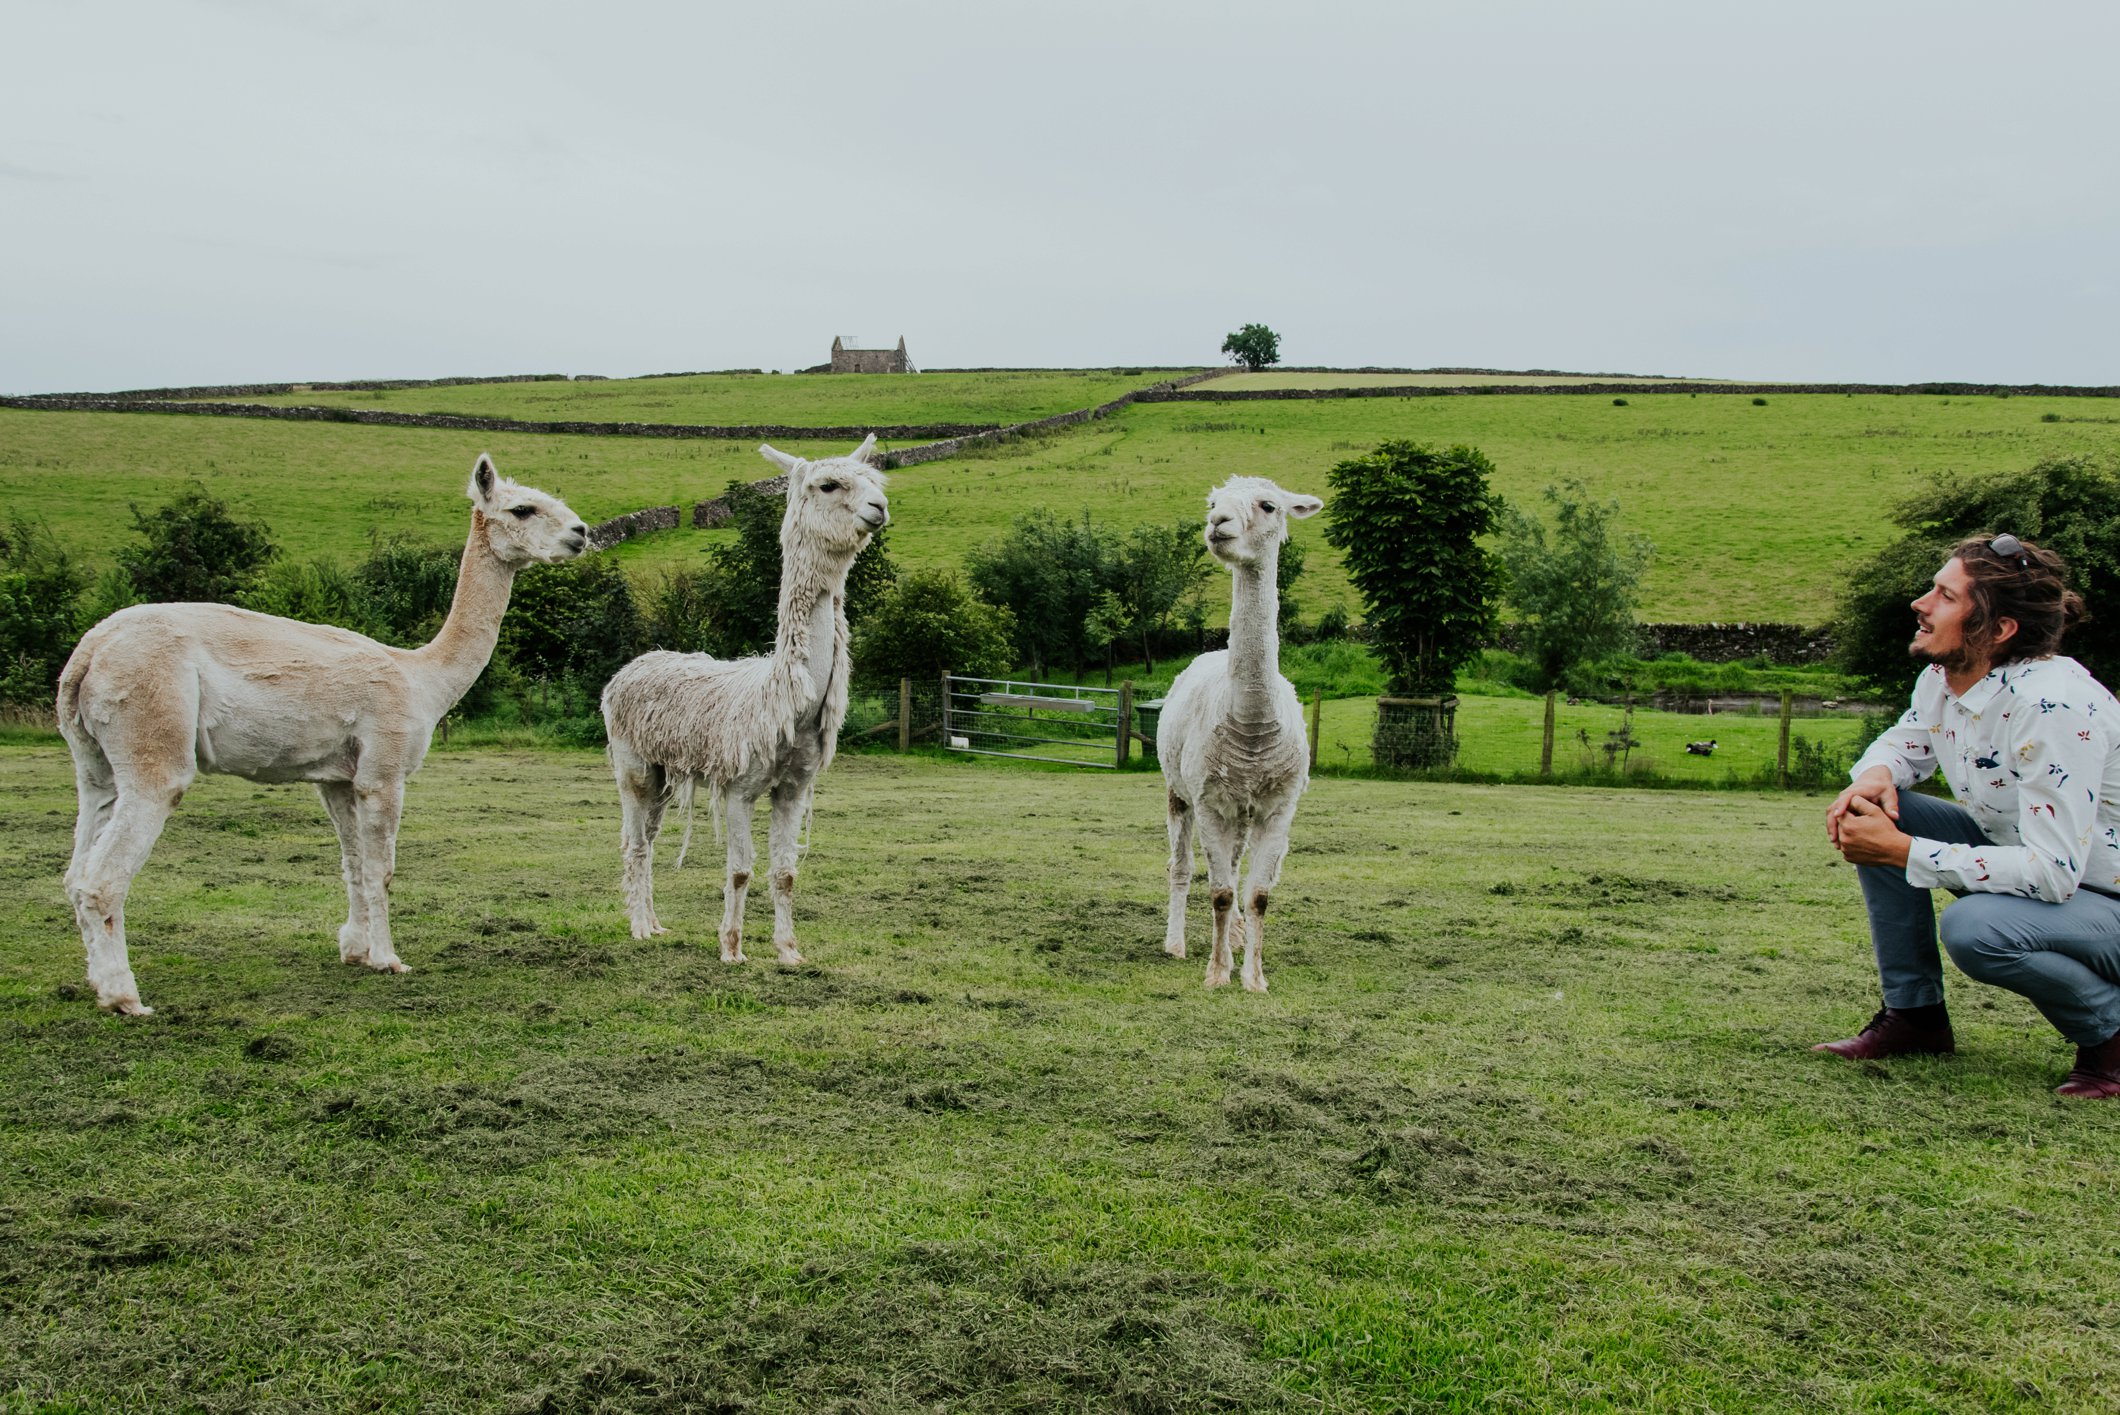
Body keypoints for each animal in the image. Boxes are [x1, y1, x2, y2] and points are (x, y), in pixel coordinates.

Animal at [56, 454, 586, 1013]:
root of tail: (88, 653)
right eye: (523, 509)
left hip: (94, 763)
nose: (581, 533)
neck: (421, 678)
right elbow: (381, 869)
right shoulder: (383, 769)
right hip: (153, 735)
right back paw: (125, 997)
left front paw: (355, 950)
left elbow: (352, 864)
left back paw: (97, 983)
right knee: (101, 879)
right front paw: (389, 959)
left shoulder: (337, 778)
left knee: (75, 873)